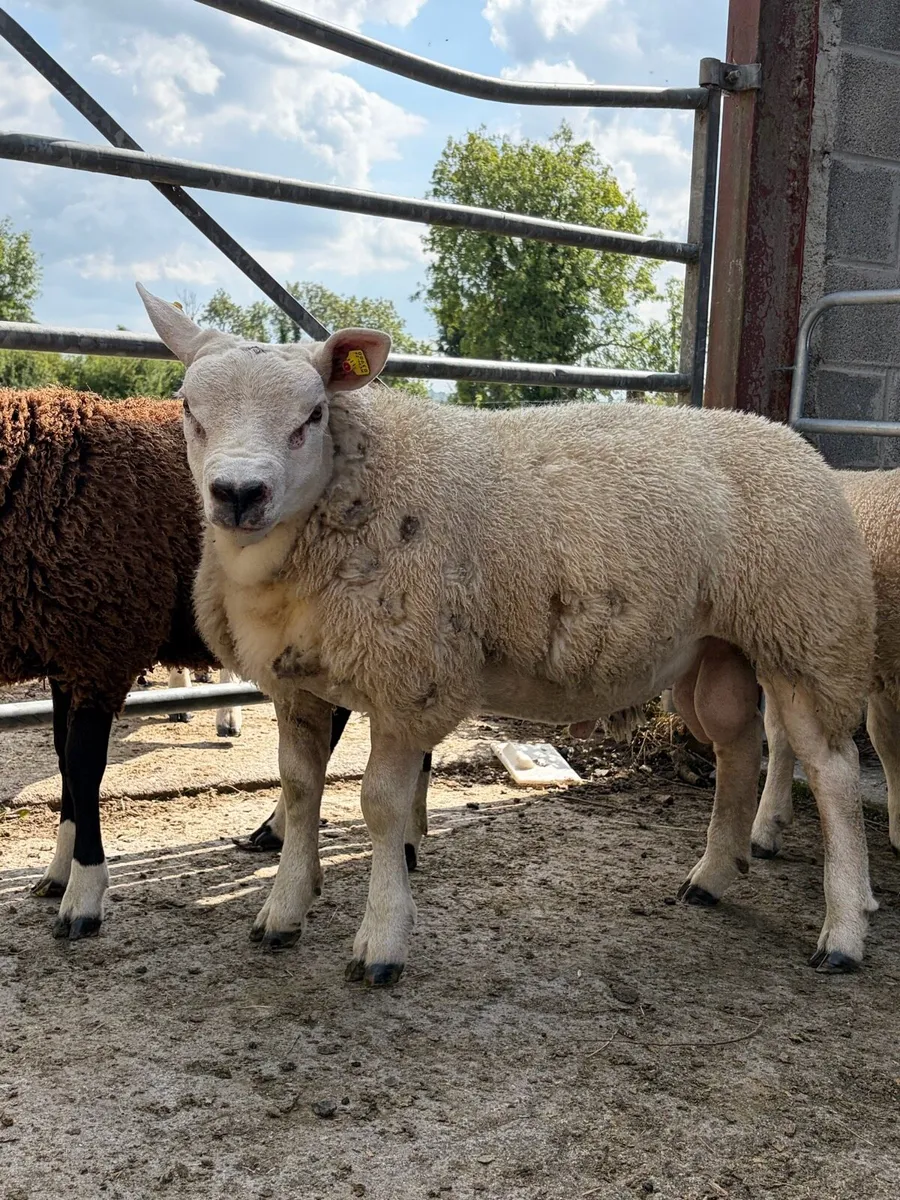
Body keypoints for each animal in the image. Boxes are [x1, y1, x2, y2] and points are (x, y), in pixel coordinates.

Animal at [0, 385, 358, 940]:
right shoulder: (69, 654)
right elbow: (62, 761)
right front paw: (58, 873)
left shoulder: (103, 647)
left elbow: (83, 767)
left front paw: (83, 896)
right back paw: (275, 831)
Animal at [137, 284, 878, 985]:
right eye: (188, 409)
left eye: (312, 416)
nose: (239, 494)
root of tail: (788, 438)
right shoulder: (298, 682)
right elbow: (297, 789)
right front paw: (283, 911)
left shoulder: (410, 675)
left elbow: (381, 806)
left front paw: (381, 941)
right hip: (719, 649)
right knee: (736, 747)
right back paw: (714, 875)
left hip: (808, 632)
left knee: (832, 773)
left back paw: (844, 930)